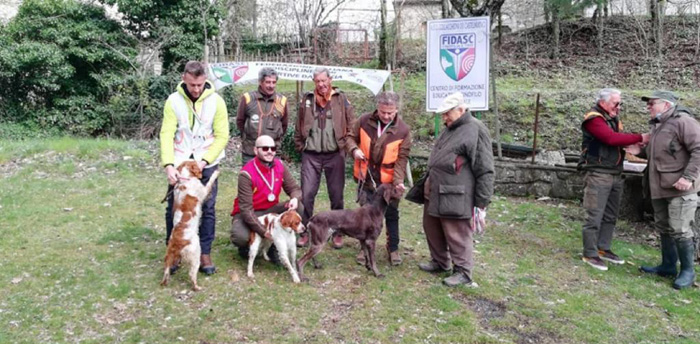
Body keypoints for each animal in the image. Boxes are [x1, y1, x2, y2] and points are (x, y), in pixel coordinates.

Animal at [161, 161, 219, 290]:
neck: (185, 179)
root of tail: (177, 243)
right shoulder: (203, 190)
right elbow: (210, 181)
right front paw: (216, 172)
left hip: (168, 257)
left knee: (166, 272)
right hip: (196, 255)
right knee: (192, 274)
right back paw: (197, 287)